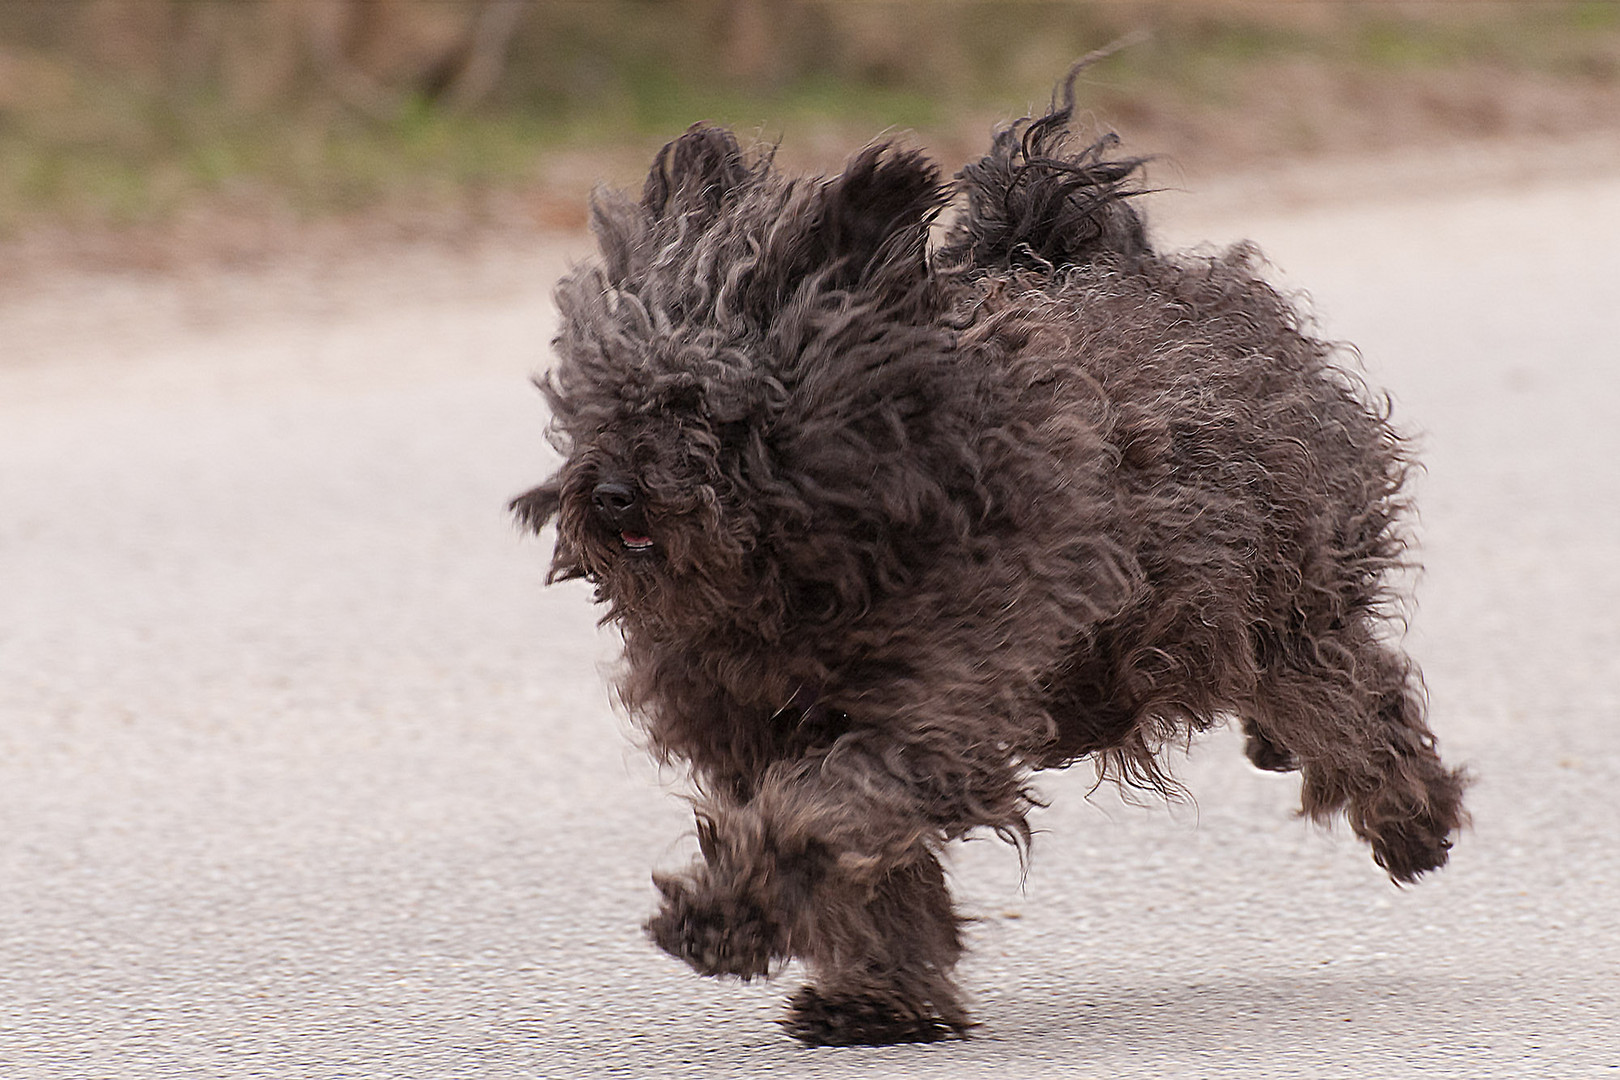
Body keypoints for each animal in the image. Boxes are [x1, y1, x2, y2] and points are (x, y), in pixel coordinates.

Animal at [515, 76, 1470, 1049]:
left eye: (714, 410)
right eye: (604, 395)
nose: (614, 493)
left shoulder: (938, 709)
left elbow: (816, 820)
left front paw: (728, 918)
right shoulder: (758, 726)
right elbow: (869, 875)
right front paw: (879, 999)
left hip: (1283, 607)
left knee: (1356, 701)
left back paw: (1411, 819)